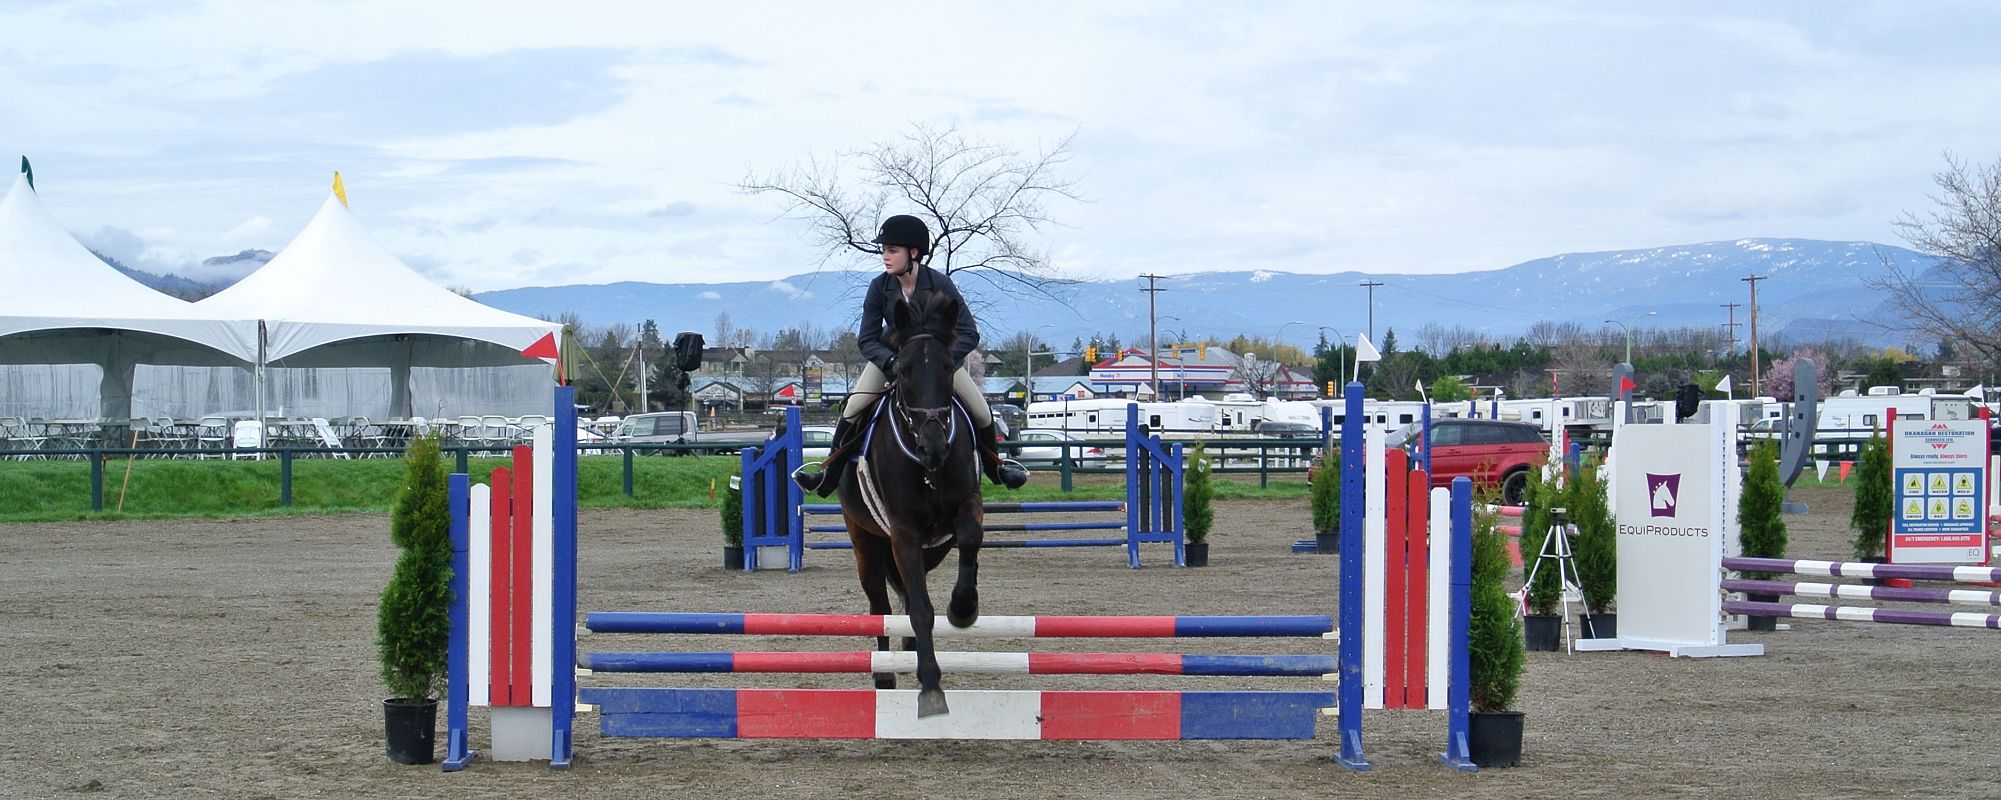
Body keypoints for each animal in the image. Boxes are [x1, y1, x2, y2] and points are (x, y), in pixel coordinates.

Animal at [828, 290, 984, 716]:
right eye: (904, 370)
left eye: (948, 367)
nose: (933, 447)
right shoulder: (903, 533)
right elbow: (920, 610)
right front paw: (930, 685)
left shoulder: (966, 506)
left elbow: (970, 537)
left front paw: (963, 608)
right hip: (865, 542)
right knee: (880, 607)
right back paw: (884, 673)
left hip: (932, 549)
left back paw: (909, 649)